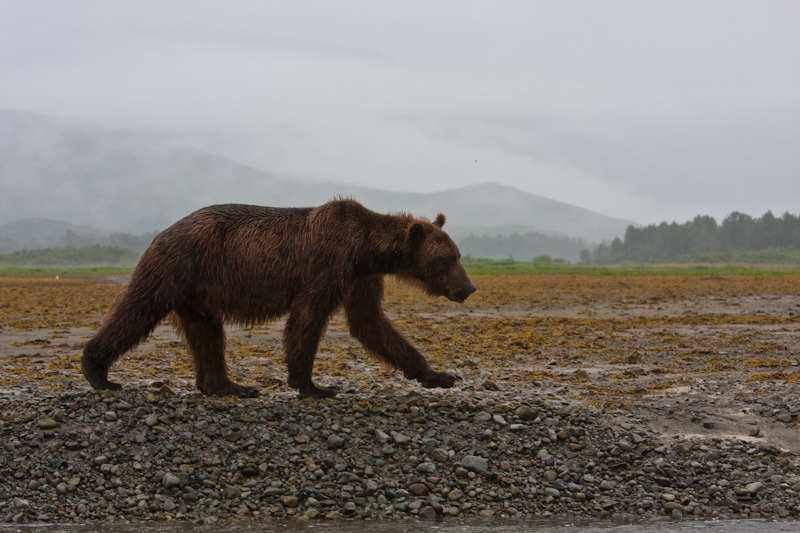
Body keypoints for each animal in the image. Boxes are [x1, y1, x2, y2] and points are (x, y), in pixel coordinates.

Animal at [83, 198, 476, 394]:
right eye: (448, 258)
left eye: (458, 254)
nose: (469, 288)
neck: (367, 249)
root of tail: (162, 233)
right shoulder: (329, 262)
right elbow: (307, 317)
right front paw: (314, 385)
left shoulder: (361, 277)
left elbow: (371, 322)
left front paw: (437, 374)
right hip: (178, 264)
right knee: (140, 307)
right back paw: (98, 370)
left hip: (198, 293)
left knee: (207, 333)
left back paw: (229, 386)